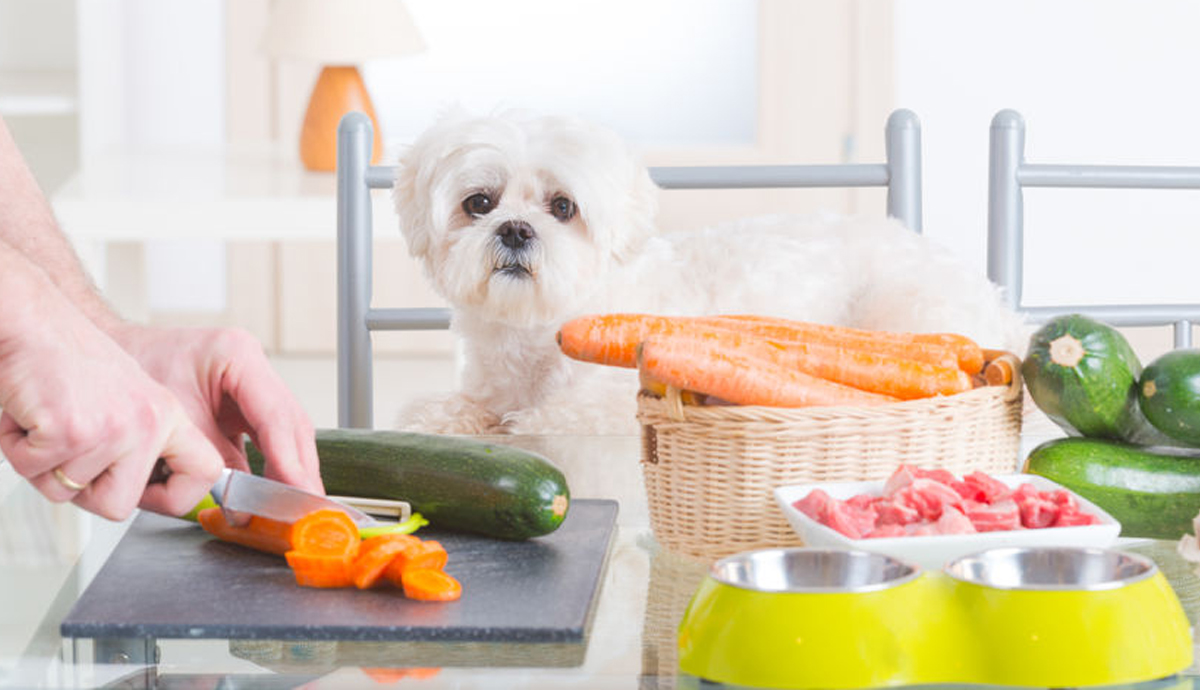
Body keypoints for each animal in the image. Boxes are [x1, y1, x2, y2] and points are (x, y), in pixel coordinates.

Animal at [388, 110, 1027, 434]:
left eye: (562, 207)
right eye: (479, 203)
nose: (516, 230)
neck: (537, 328)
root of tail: (993, 299)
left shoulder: (593, 413)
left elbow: (549, 429)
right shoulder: (483, 391)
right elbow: (445, 413)